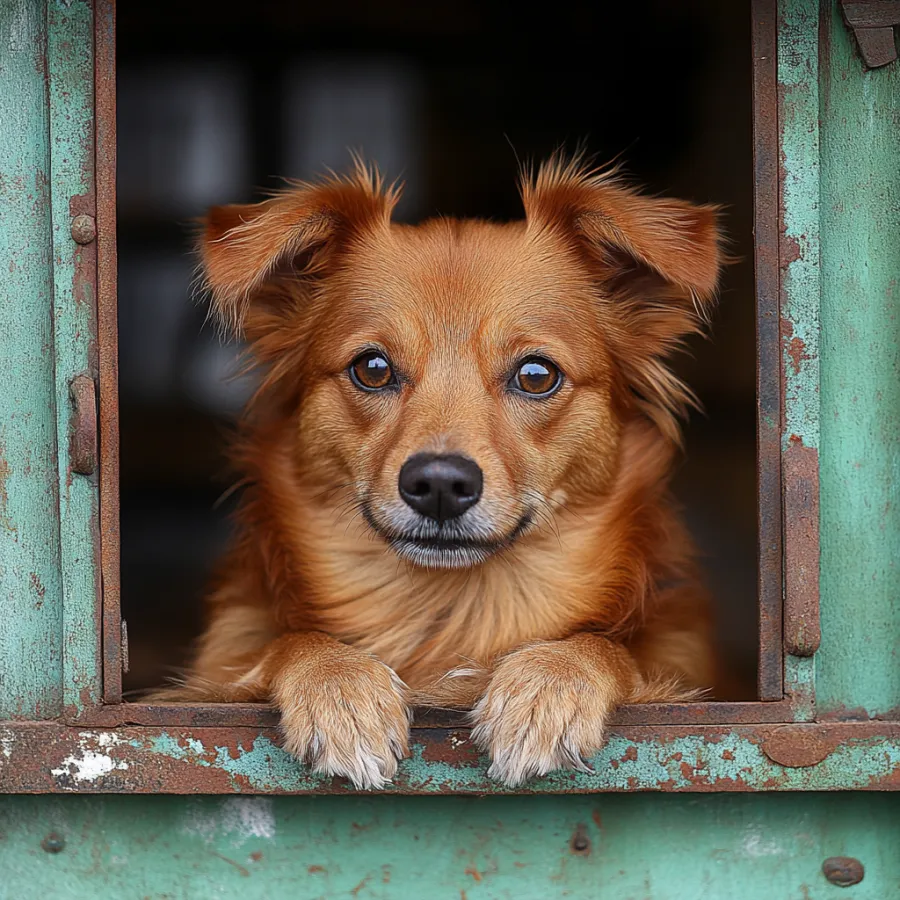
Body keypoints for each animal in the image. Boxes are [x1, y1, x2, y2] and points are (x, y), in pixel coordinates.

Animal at [151, 156, 720, 788]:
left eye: (536, 375)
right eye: (372, 368)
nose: (441, 485)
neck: (449, 617)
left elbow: (610, 649)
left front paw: (550, 684)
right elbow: (286, 643)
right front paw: (339, 686)